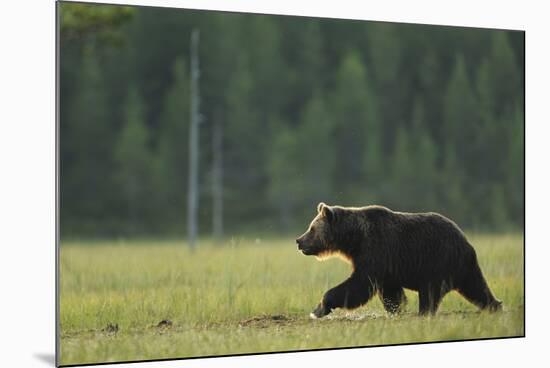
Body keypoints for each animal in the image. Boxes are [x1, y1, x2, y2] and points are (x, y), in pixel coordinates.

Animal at [298, 203, 504, 318]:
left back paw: (424, 312)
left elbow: (360, 283)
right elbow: (390, 290)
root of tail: (465, 240)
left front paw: (319, 308)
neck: (354, 239)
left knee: (430, 291)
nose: (299, 241)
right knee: (476, 287)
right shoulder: (386, 265)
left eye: (311, 228)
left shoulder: (376, 249)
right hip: (460, 266)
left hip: (437, 260)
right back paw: (495, 306)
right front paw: (396, 309)